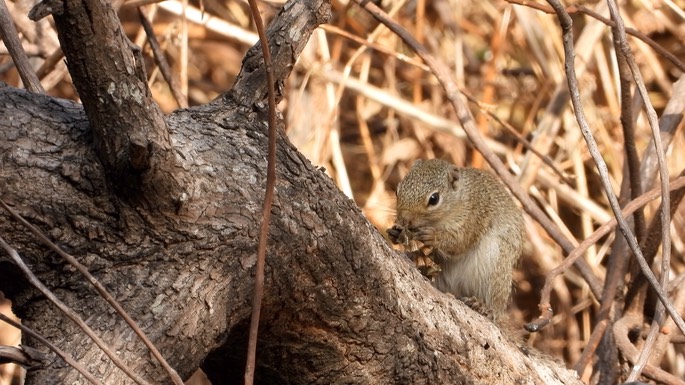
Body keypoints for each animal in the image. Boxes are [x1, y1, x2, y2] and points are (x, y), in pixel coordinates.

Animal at [384, 158, 524, 320]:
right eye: (397, 191)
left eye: (434, 199)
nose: (404, 219)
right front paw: (394, 233)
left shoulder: (473, 217)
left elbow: (460, 242)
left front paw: (433, 236)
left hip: (496, 264)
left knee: (496, 303)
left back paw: (486, 308)